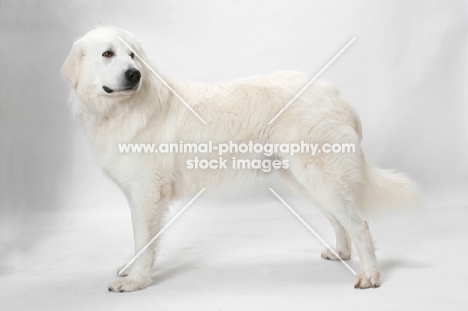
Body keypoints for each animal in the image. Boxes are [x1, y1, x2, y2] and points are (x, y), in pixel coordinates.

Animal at [61, 26, 420, 292]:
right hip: (306, 180)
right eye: (108, 54)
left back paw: (370, 275)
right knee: (339, 220)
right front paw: (131, 268)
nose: (134, 74)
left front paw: (136, 281)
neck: (122, 109)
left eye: (133, 55)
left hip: (319, 177)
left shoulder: (148, 193)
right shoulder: (135, 193)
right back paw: (341, 253)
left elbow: (144, 241)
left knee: (360, 224)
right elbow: (138, 240)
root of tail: (337, 94)